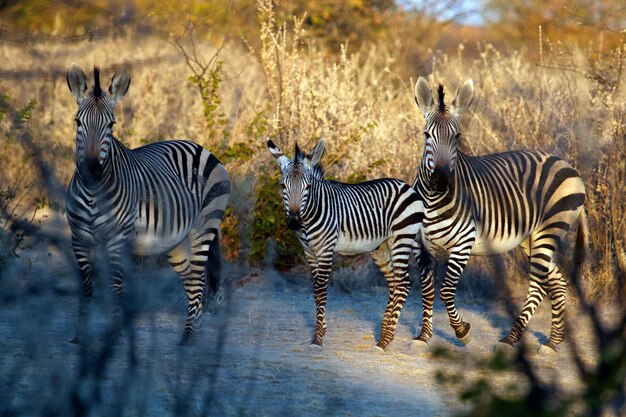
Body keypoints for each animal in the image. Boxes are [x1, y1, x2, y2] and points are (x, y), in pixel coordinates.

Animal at [65, 64, 229, 344]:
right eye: (78, 122)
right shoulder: (79, 240)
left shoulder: (117, 240)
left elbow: (116, 287)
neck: (92, 193)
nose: (92, 171)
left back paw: (188, 339)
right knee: (192, 284)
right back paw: (190, 334)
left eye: (111, 125)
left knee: (198, 284)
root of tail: (199, 146)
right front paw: (80, 337)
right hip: (176, 242)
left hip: (203, 228)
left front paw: (115, 335)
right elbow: (86, 288)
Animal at [266, 137, 422, 352]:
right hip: (382, 247)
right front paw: (320, 331)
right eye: (283, 186)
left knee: (404, 284)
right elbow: (315, 291)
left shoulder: (326, 249)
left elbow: (321, 289)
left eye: (308, 187)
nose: (294, 222)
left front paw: (318, 338)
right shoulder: (309, 252)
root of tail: (406, 185)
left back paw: (385, 340)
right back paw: (385, 333)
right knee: (395, 283)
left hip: (402, 238)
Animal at [410, 75, 584, 352]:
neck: (432, 199)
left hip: (550, 229)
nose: (441, 180)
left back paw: (510, 339)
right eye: (426, 135)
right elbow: (427, 290)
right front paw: (423, 336)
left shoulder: (463, 243)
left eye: (457, 137)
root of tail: (565, 163)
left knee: (537, 287)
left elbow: (446, 290)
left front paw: (462, 332)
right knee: (556, 281)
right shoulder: (422, 246)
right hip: (531, 238)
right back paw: (552, 343)